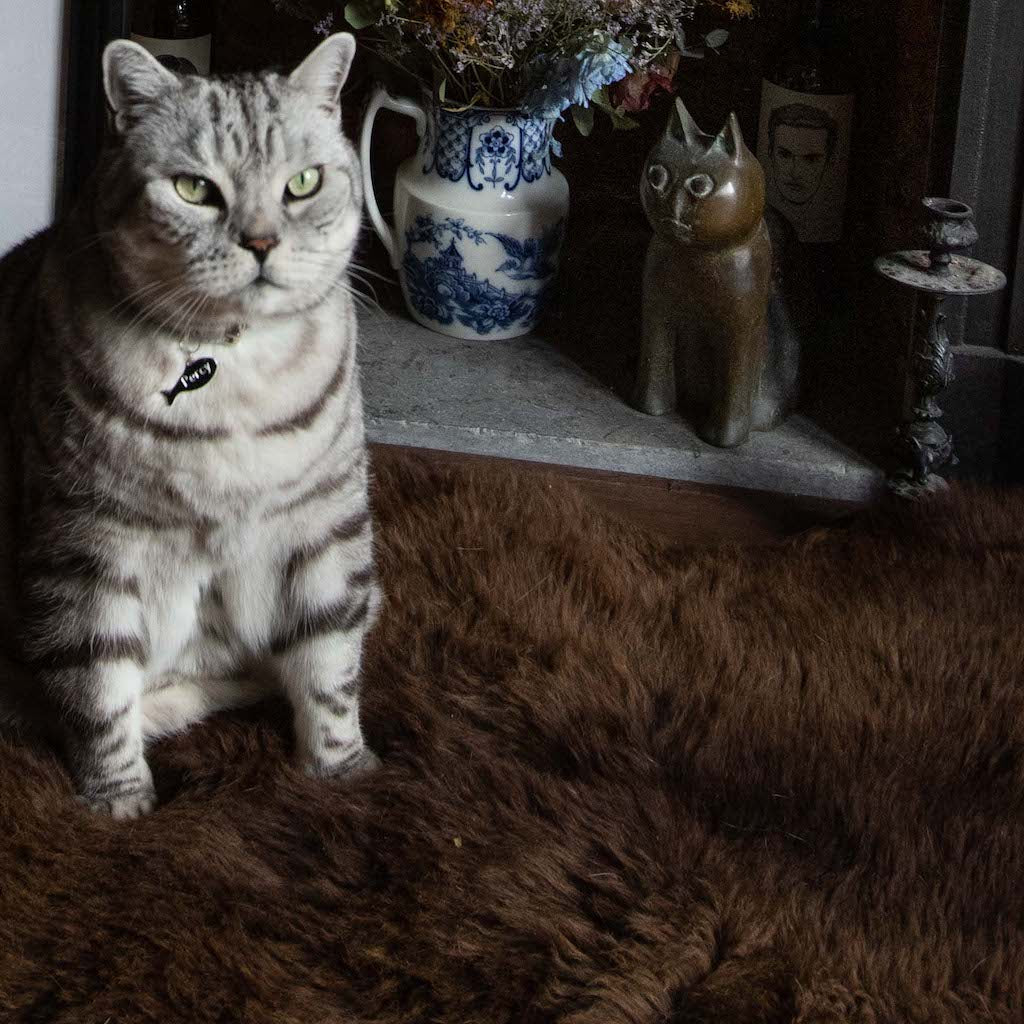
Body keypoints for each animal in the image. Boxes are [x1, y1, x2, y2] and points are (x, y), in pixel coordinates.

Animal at [0, 32, 382, 819]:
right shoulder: (85, 547)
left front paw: (342, 772)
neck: (230, 368)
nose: (262, 242)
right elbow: (96, 686)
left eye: (303, 184)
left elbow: (330, 663)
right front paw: (119, 804)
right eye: (194, 190)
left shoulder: (325, 528)